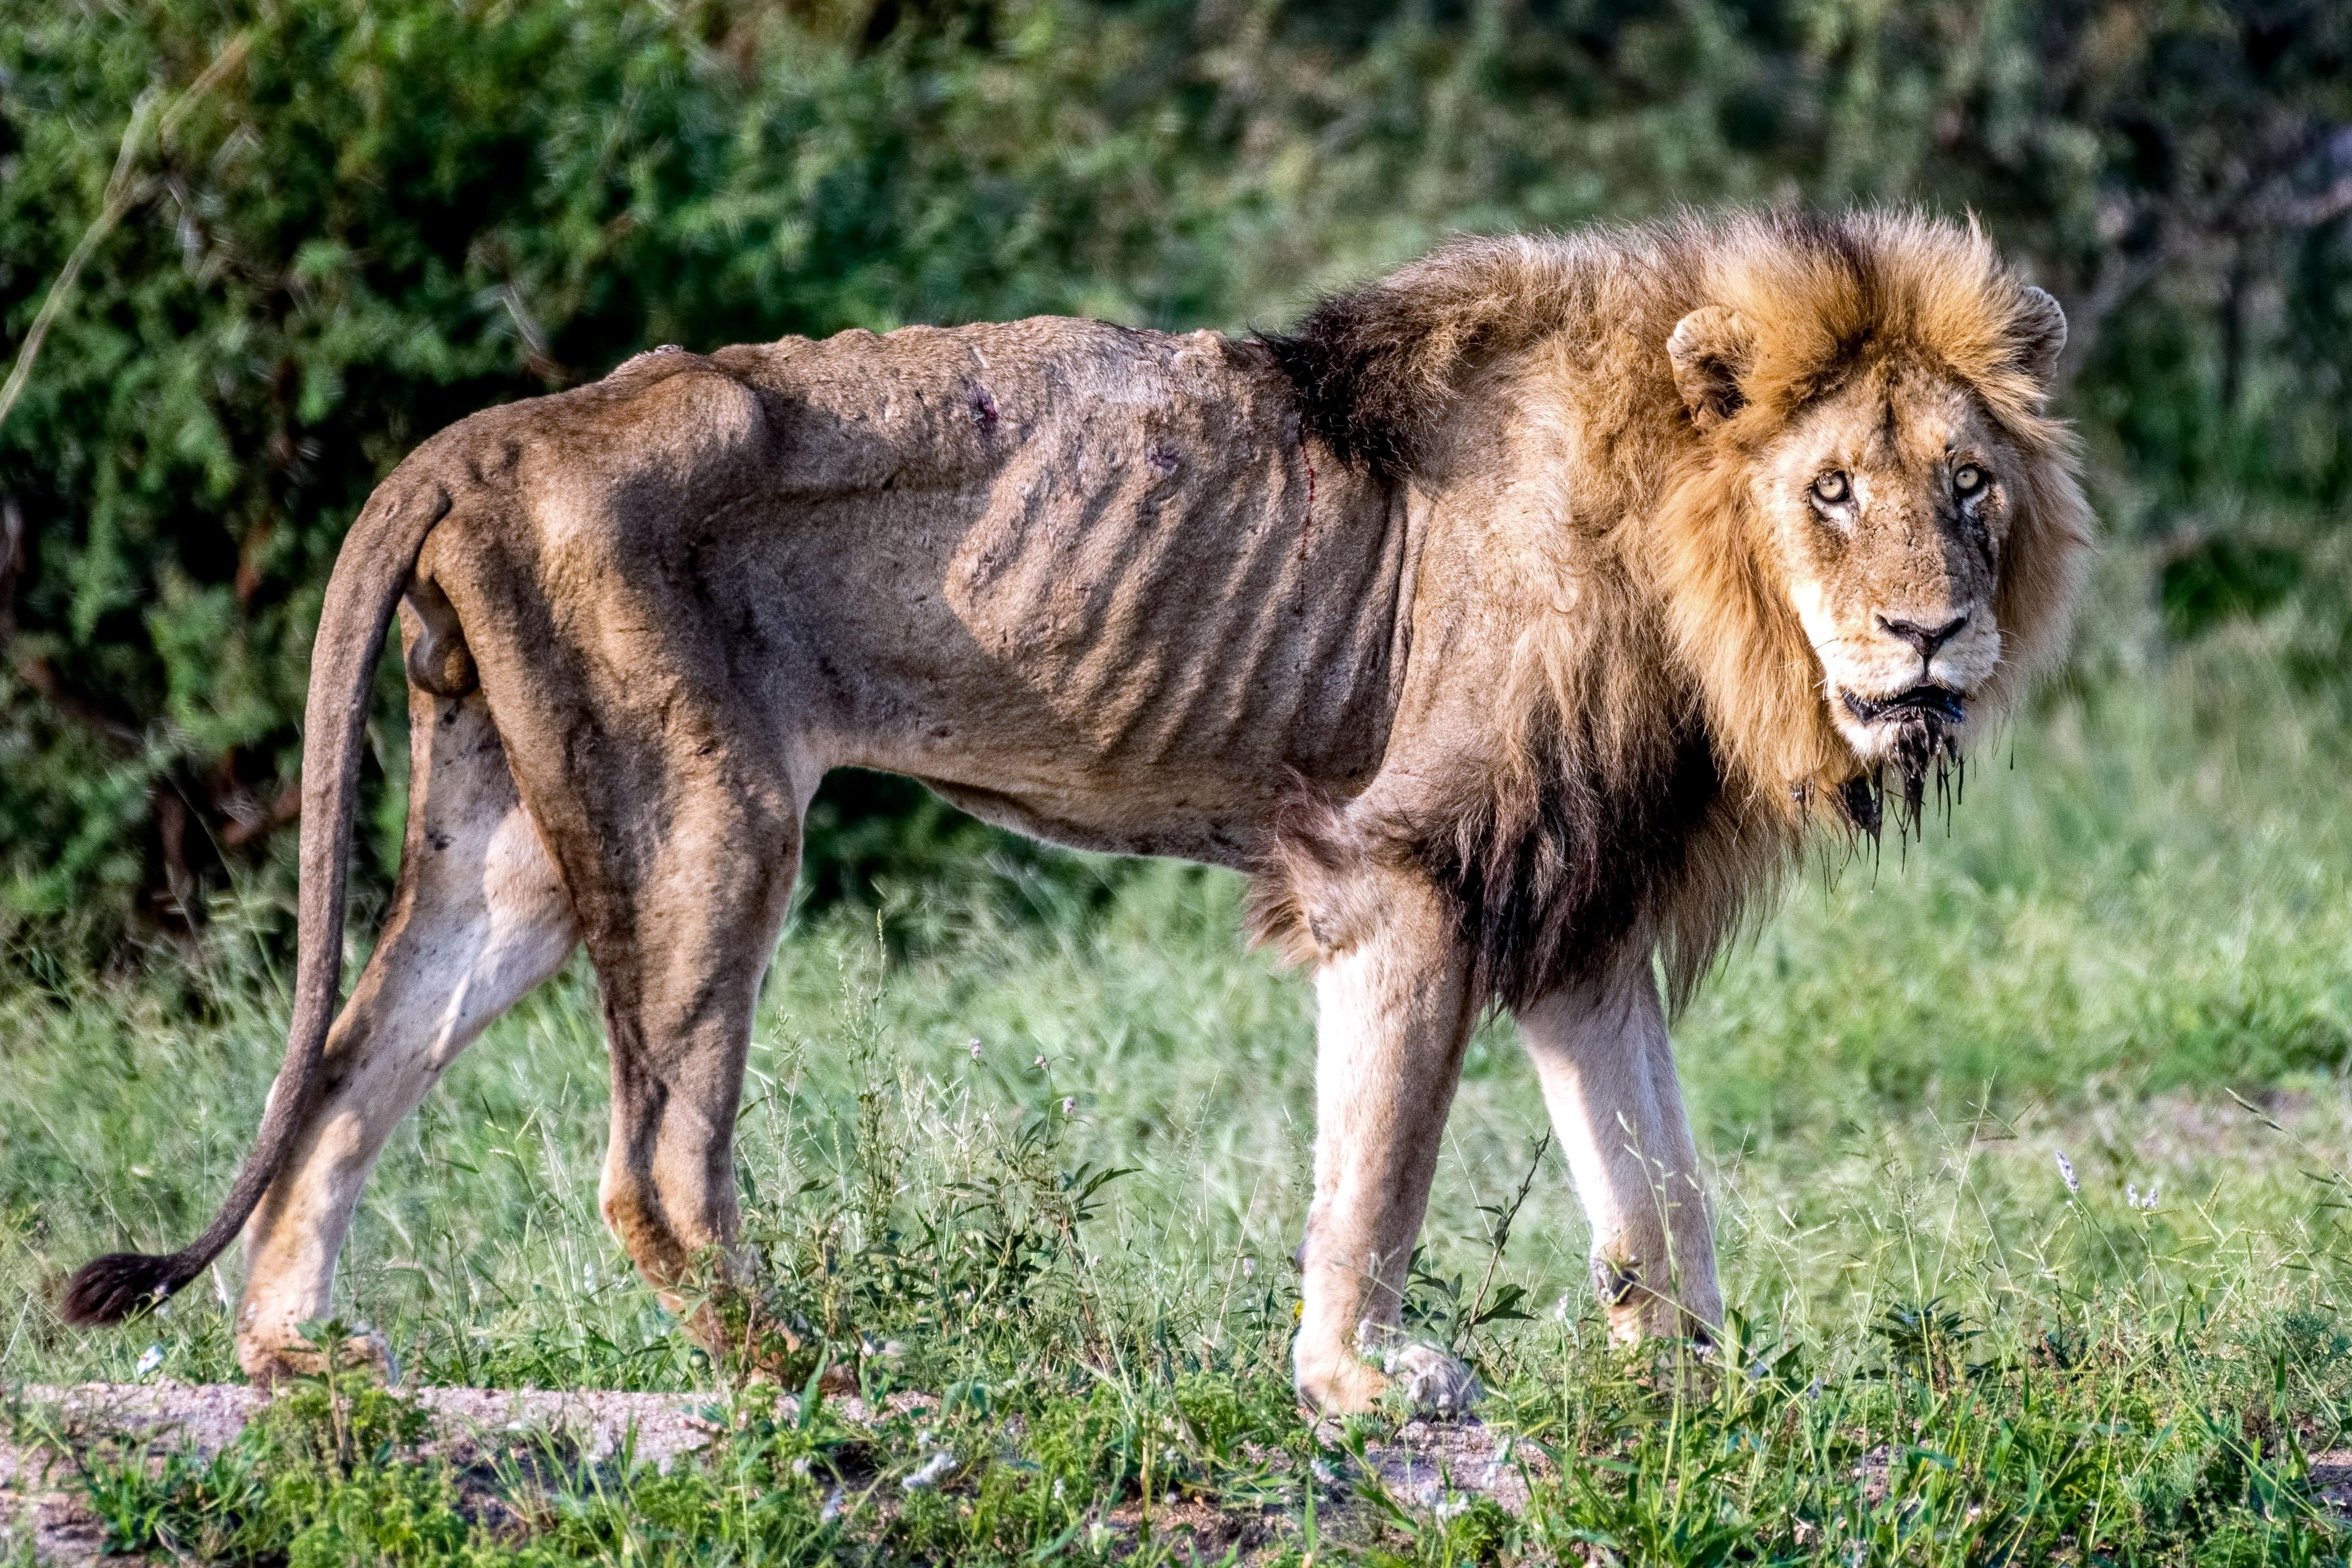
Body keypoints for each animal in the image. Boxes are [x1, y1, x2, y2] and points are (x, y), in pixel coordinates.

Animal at [55, 202, 2088, 1420]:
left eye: (1965, 483)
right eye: (1829, 489)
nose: (1929, 632)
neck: (1685, 556)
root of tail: (490, 432)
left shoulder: (1571, 903)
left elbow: (1658, 1188)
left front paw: (1700, 1393)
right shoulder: (1407, 869)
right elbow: (1379, 1169)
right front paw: (1359, 1379)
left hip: (520, 848)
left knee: (347, 1066)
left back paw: (308, 1352)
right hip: (708, 814)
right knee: (652, 1166)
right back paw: (830, 1368)